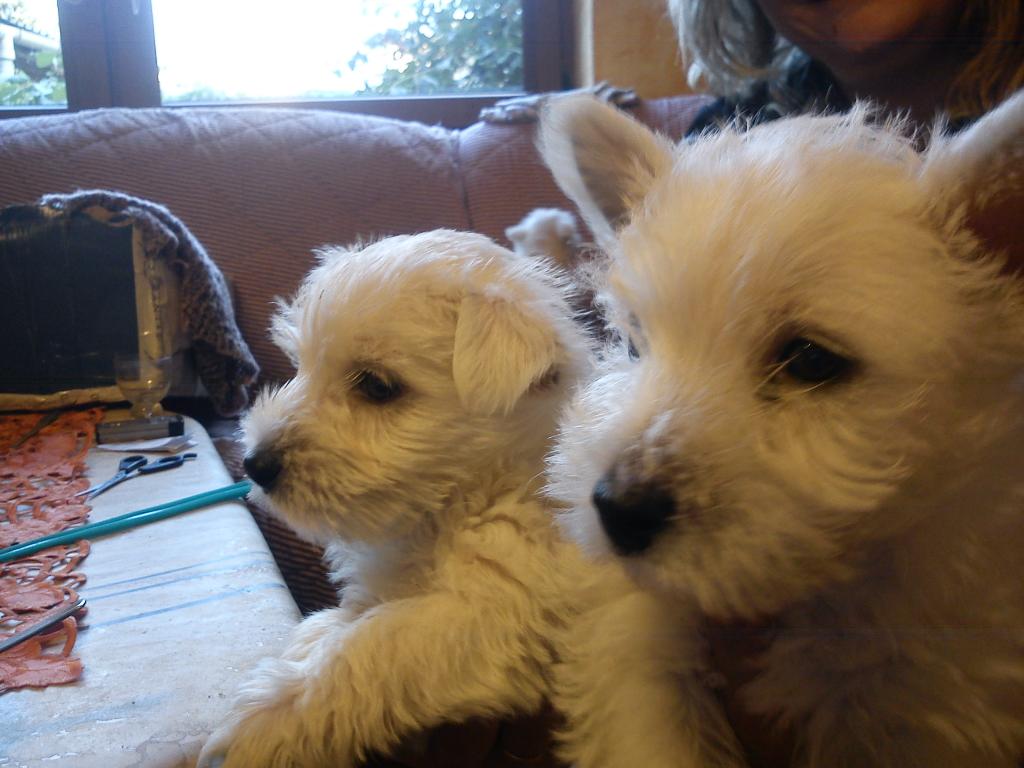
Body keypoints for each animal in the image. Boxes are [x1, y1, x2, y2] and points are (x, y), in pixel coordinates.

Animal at [195, 228, 589, 768]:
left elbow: (365, 647)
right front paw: (303, 645)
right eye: (301, 366)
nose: (255, 463)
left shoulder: (488, 613)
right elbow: (340, 621)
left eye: (377, 386)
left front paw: (261, 722)